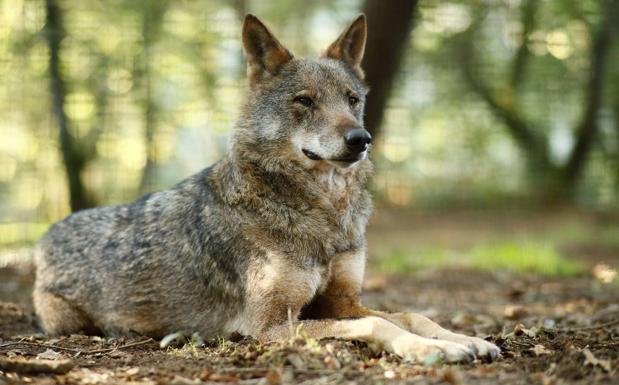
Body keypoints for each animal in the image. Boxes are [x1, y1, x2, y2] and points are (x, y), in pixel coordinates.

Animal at [32, 15, 498, 362]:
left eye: (351, 99)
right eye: (305, 101)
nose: (361, 139)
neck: (323, 212)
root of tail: (47, 235)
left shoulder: (342, 301)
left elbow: (412, 314)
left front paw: (465, 339)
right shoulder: (269, 325)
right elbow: (379, 322)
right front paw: (431, 350)